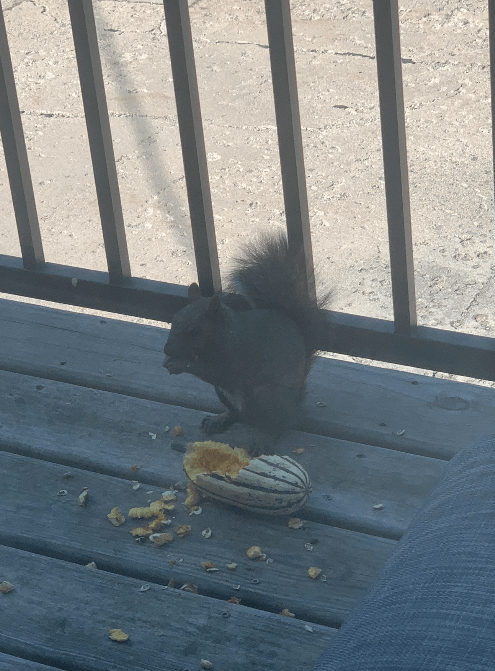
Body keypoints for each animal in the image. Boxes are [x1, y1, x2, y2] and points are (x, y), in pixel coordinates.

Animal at [163, 231, 330, 456]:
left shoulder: (238, 356)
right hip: (224, 393)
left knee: (278, 425)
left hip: (268, 397)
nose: (167, 349)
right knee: (238, 414)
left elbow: (213, 371)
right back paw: (219, 420)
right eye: (174, 319)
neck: (228, 333)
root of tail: (295, 403)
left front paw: (178, 364)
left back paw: (264, 439)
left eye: (194, 330)